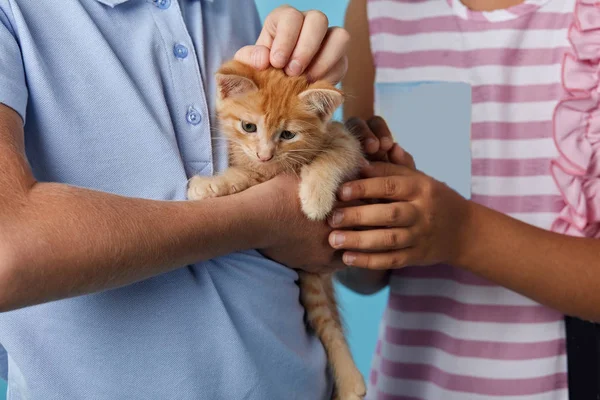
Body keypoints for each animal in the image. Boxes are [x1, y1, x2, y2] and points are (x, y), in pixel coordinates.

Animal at [188, 60, 366, 400]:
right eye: (249, 127)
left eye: (288, 134)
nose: (266, 153)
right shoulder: (256, 169)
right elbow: (244, 177)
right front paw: (212, 185)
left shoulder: (347, 142)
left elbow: (333, 156)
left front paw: (315, 198)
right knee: (327, 321)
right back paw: (351, 383)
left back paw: (352, 382)